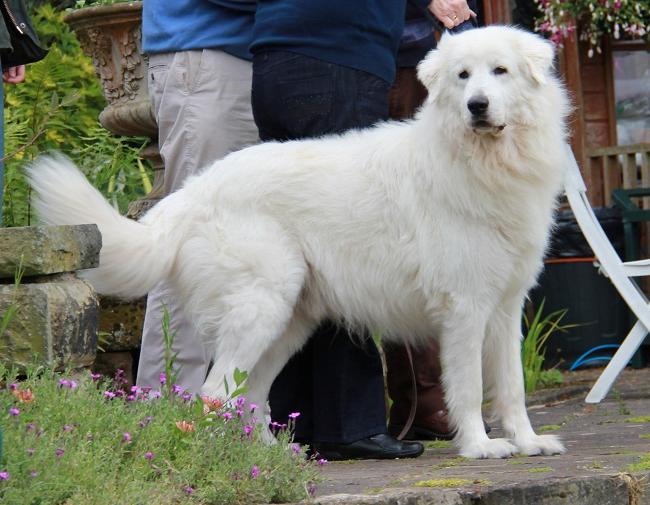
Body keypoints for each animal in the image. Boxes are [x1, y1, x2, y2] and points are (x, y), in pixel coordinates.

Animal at [29, 25, 568, 458]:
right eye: (463, 76)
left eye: (500, 71)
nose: (478, 106)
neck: (482, 160)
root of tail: (194, 190)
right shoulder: (464, 308)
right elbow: (470, 389)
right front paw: (480, 447)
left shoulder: (505, 307)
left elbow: (512, 387)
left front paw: (528, 442)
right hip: (261, 309)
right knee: (214, 394)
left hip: (288, 322)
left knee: (249, 398)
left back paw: (277, 459)